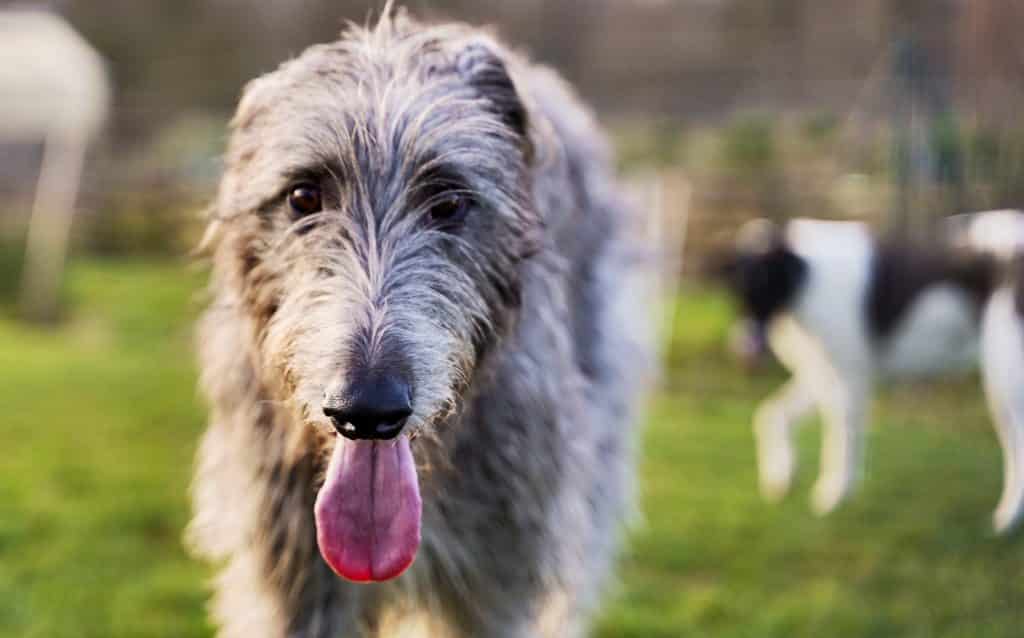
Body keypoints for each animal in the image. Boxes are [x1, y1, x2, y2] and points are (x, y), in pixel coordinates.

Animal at [716, 211, 1024, 532]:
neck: (806, 282)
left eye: (766, 283)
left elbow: (840, 440)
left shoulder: (847, 378)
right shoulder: (822, 374)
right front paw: (782, 476)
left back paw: (1007, 518)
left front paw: (833, 497)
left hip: (1004, 376)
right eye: (736, 288)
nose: (743, 348)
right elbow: (772, 416)